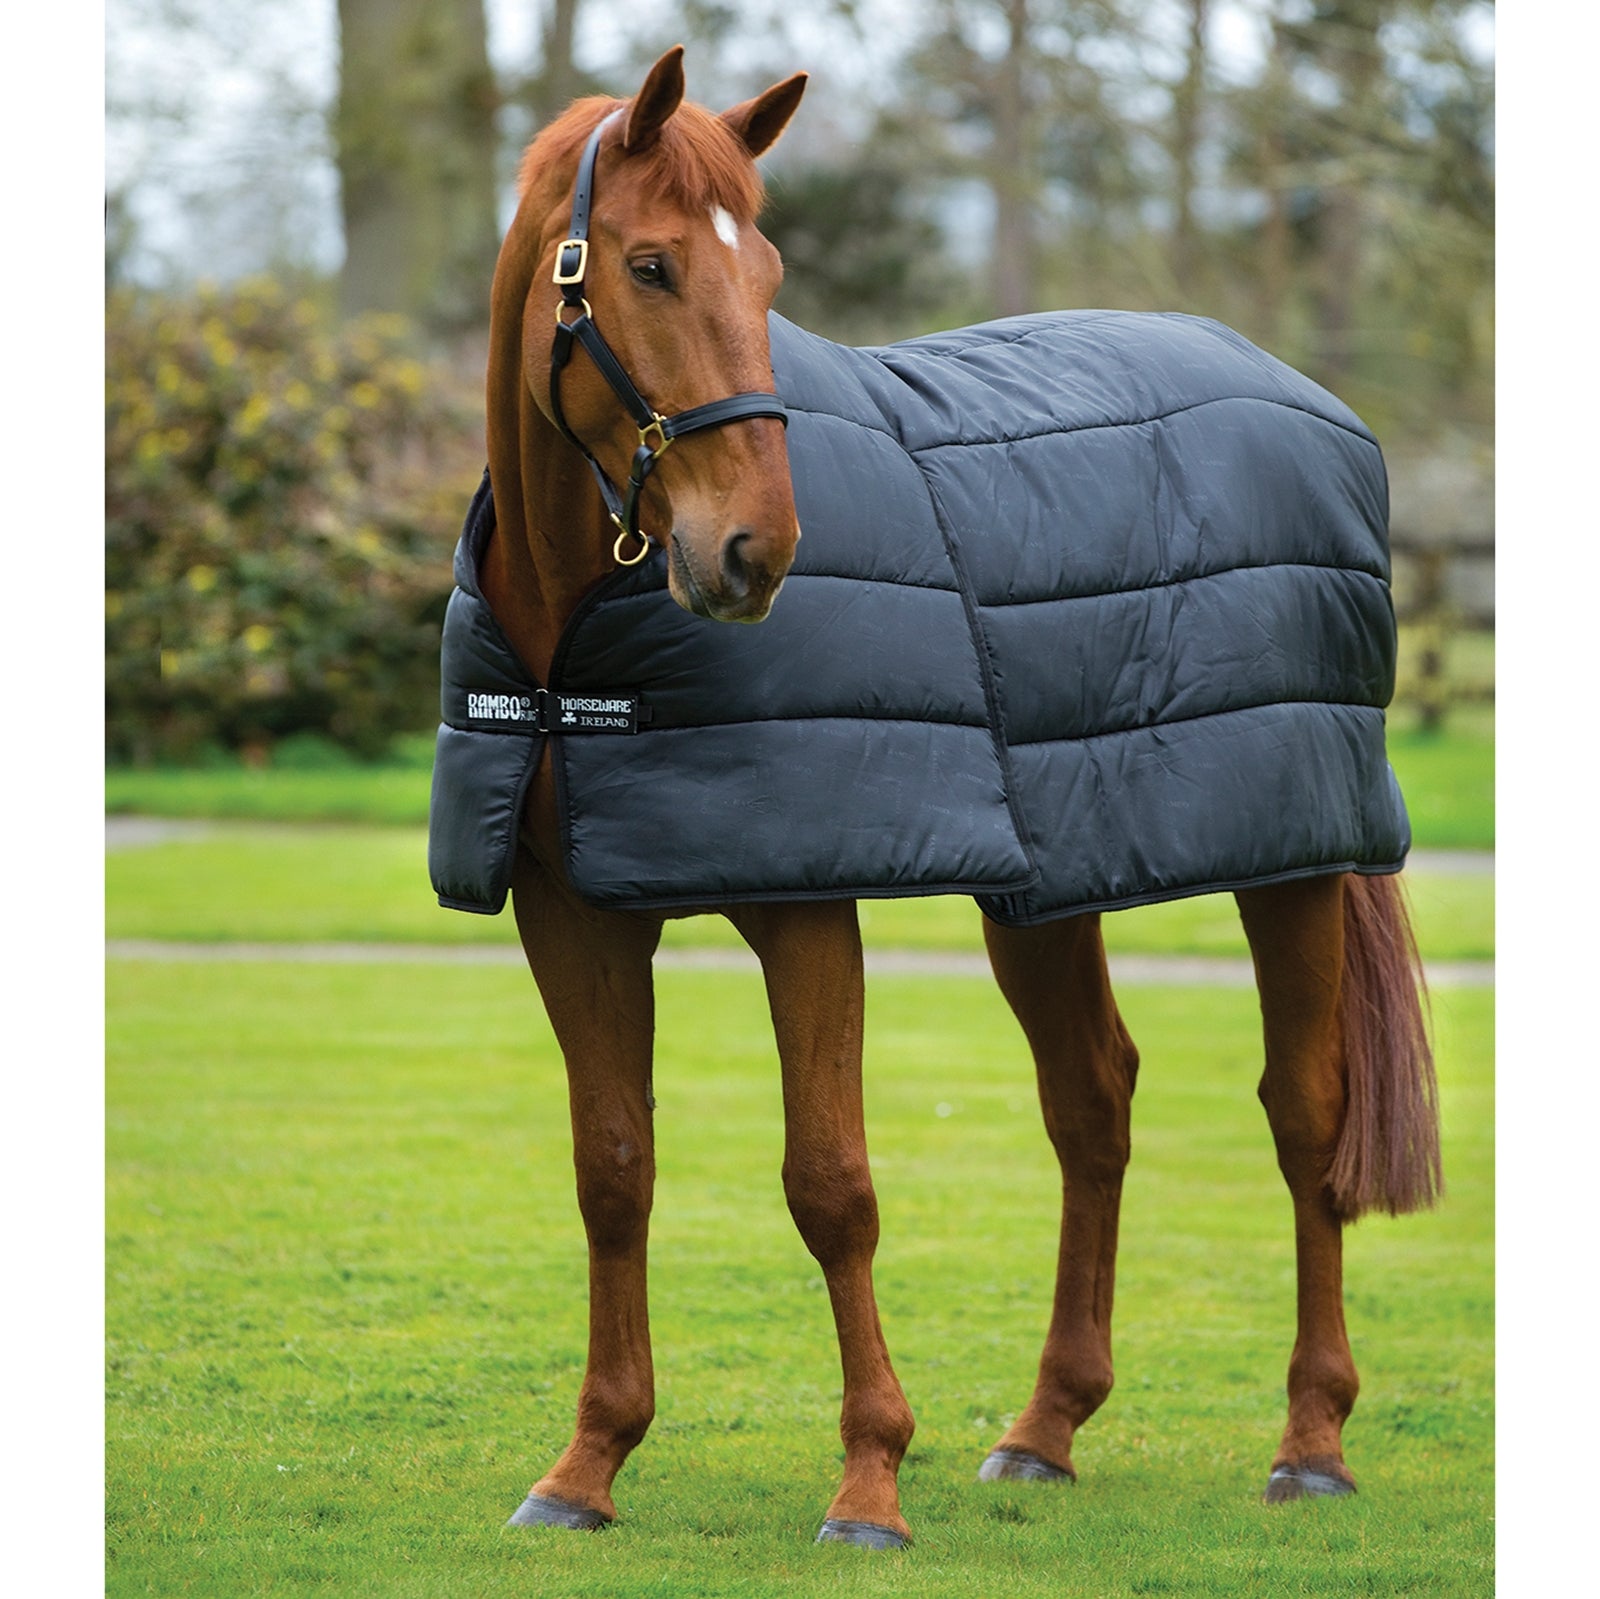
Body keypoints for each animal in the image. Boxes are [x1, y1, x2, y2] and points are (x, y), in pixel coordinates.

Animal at [450, 45, 1441, 1550]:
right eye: (651, 264)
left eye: (768, 269)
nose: (756, 550)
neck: (574, 640)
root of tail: (1309, 400)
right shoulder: (574, 911)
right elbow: (612, 1168)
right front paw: (587, 1465)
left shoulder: (805, 904)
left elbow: (831, 1186)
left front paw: (869, 1480)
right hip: (1052, 881)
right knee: (1094, 1101)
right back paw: (1046, 1428)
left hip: (1297, 863)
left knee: (1306, 1114)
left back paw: (1312, 1437)